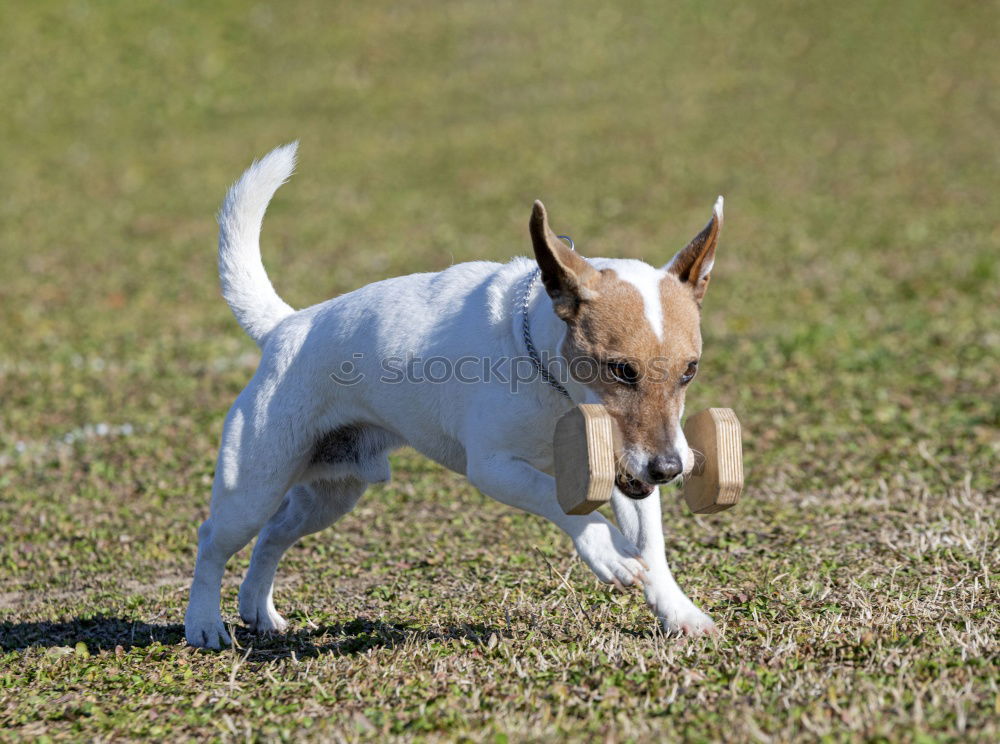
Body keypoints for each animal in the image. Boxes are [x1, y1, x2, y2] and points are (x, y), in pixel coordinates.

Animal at [184, 144, 724, 644]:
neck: (553, 384)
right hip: (253, 484)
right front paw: (607, 550)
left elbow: (650, 544)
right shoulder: (495, 467)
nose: (669, 469)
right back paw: (205, 623)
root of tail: (286, 326)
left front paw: (678, 611)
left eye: (690, 371)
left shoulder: (626, 472)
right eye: (621, 370)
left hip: (332, 494)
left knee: (273, 535)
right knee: (214, 540)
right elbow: (554, 497)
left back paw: (258, 609)